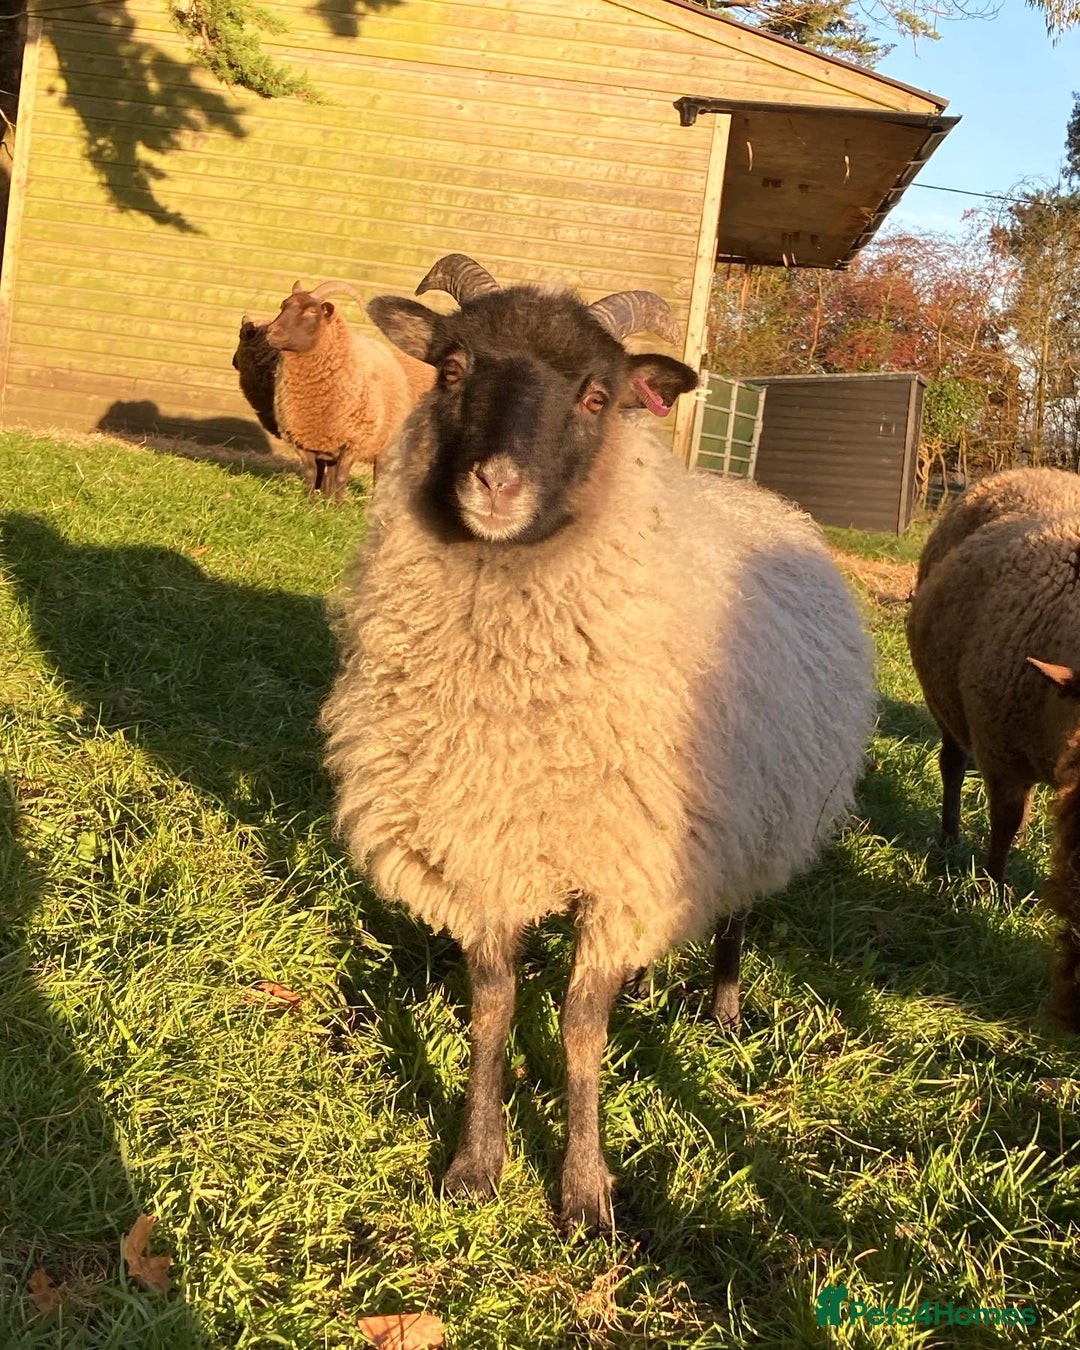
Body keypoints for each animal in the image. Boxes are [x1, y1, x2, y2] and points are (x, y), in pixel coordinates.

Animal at [320, 253, 876, 1233]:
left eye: (596, 395)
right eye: (452, 368)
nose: (495, 483)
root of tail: (760, 499)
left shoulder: (624, 865)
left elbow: (581, 1029)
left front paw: (585, 1189)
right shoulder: (480, 847)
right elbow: (494, 1008)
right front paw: (475, 1165)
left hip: (758, 809)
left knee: (735, 913)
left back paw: (723, 1010)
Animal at [906, 478, 1080, 891]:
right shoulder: (1000, 751)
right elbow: (1006, 822)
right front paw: (992, 891)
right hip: (945, 704)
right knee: (951, 765)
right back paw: (949, 839)